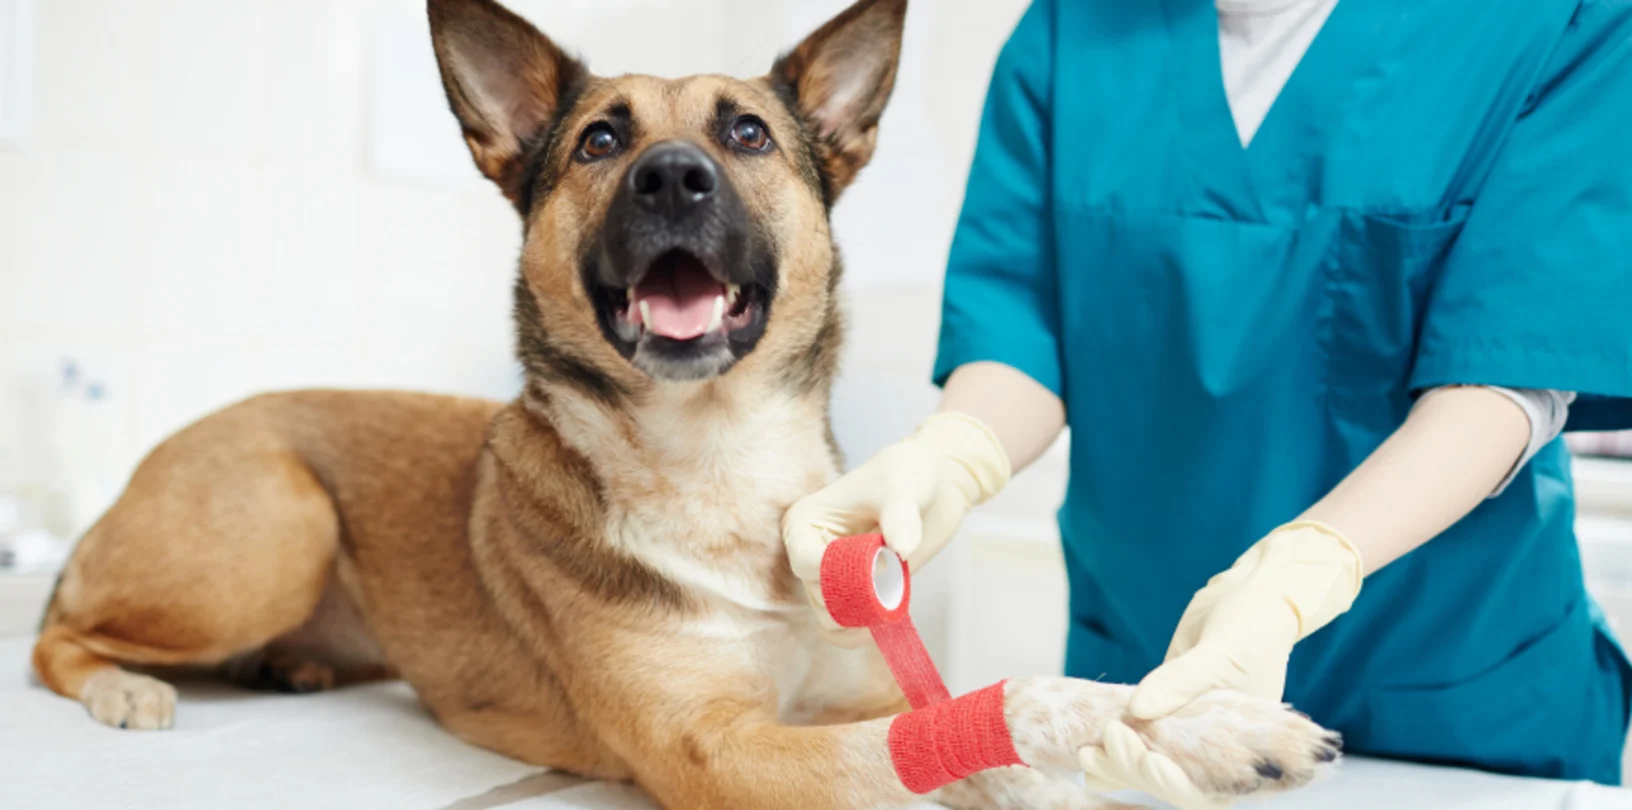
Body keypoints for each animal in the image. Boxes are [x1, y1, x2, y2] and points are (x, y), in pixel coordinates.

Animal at [31, 3, 1344, 806]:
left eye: (748, 133)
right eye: (600, 140)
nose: (672, 176)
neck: (718, 462)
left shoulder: (862, 688)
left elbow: (1012, 695)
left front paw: (1212, 725)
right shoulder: (723, 754)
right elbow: (990, 710)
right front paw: (1045, 751)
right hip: (276, 526)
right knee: (57, 632)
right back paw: (123, 686)